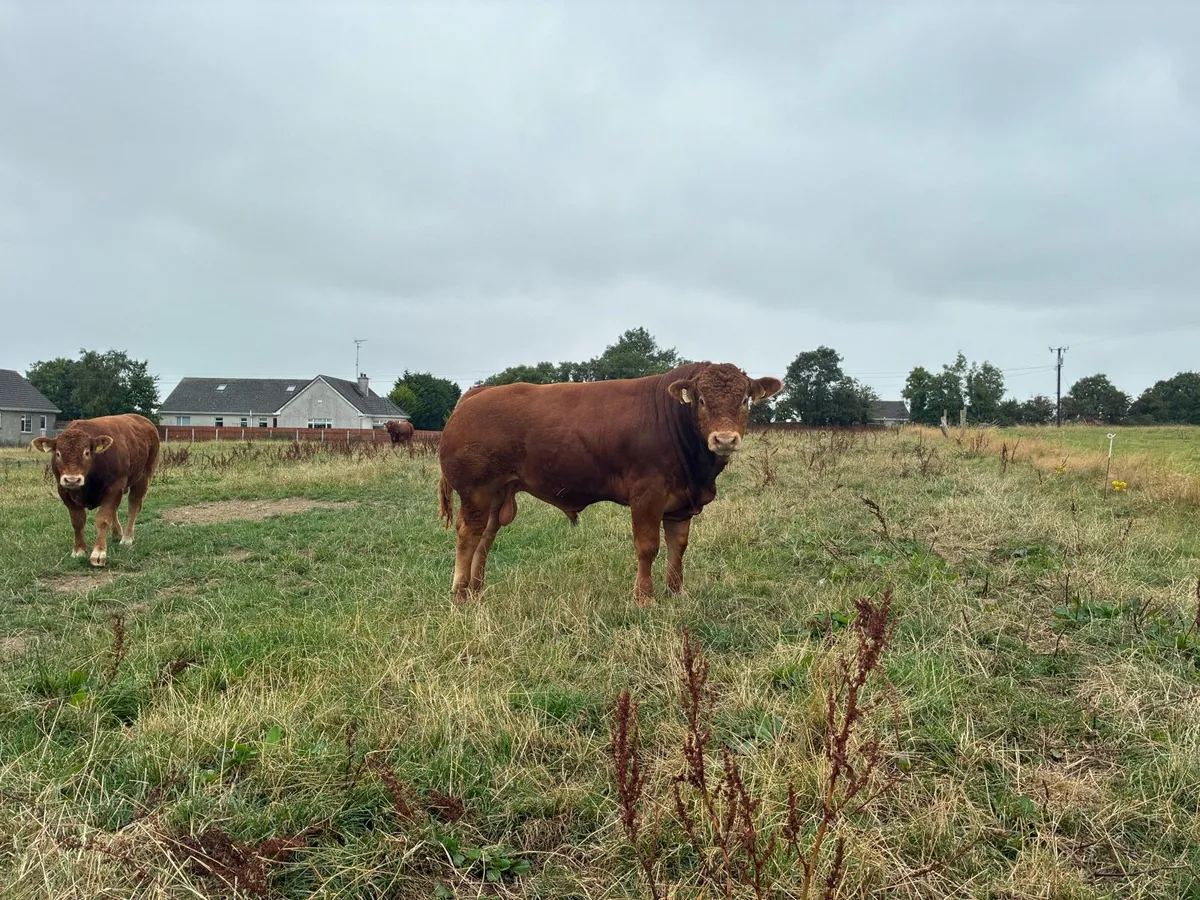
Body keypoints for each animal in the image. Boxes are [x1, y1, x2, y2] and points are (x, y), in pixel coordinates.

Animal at [31, 413, 161, 568]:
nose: (72, 479)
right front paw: (79, 550)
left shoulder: (115, 487)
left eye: (86, 452)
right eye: (58, 454)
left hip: (143, 476)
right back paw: (117, 534)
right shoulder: (64, 491)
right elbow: (78, 521)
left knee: (133, 505)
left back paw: (127, 537)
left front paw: (98, 553)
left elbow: (103, 518)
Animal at [436, 362, 782, 601]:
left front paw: (676, 592)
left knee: (485, 537)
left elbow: (678, 547)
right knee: (468, 536)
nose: (724, 439)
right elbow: (648, 546)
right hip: (476, 491)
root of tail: (477, 393)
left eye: (744, 400)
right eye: (701, 401)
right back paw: (460, 593)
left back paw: (476, 590)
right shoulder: (647, 493)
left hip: (497, 493)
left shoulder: (681, 503)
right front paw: (644, 597)